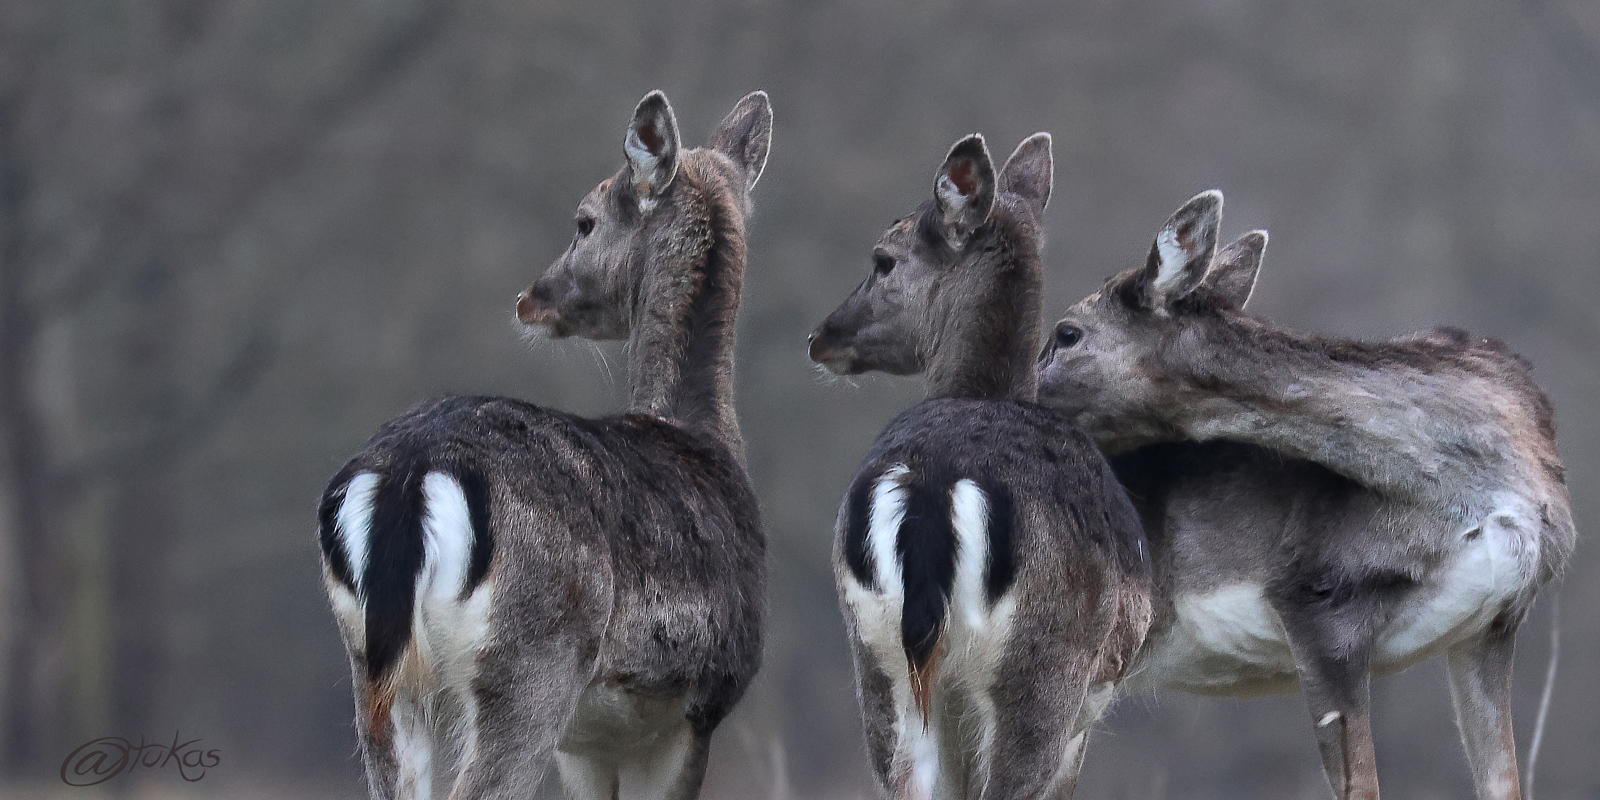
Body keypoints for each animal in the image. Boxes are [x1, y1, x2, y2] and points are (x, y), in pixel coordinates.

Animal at [315, 89, 771, 800]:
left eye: (583, 222)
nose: (532, 297)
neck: (707, 437)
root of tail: (408, 475)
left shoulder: (591, 744)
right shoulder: (694, 711)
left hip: (377, 673)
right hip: (533, 664)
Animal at [812, 134, 1152, 796]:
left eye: (883, 260)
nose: (821, 336)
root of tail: (932, 490)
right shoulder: (1082, 719)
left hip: (879, 668)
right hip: (1042, 677)